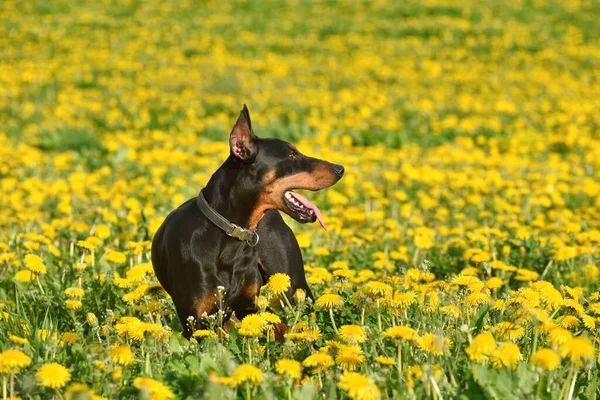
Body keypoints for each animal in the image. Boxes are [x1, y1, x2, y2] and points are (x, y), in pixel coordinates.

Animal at [152, 104, 344, 338]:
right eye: (291, 155)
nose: (340, 169)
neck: (229, 236)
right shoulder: (197, 322)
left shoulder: (249, 306)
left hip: (294, 285)